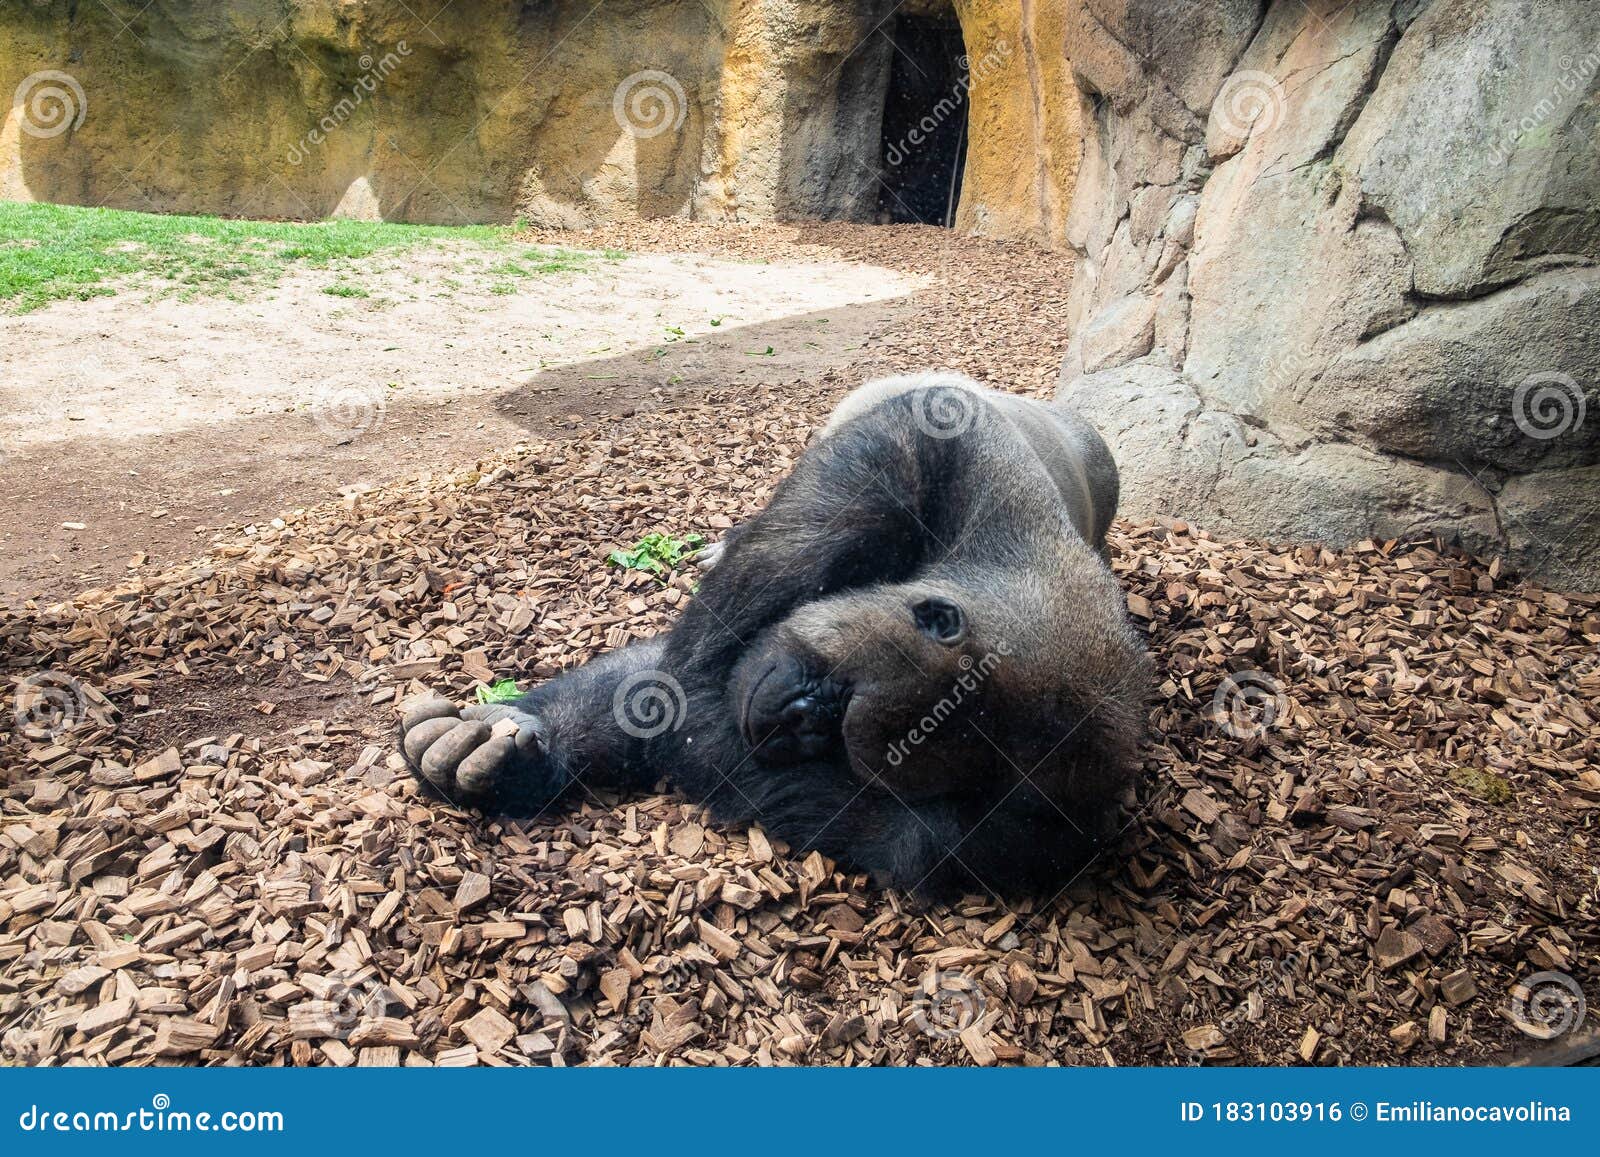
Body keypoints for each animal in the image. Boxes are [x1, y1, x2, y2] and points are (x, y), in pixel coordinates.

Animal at [400, 371, 1152, 896]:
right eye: (837, 705)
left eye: (840, 746)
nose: (794, 721)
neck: (1008, 559)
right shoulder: (906, 450)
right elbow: (679, 685)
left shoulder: (1048, 828)